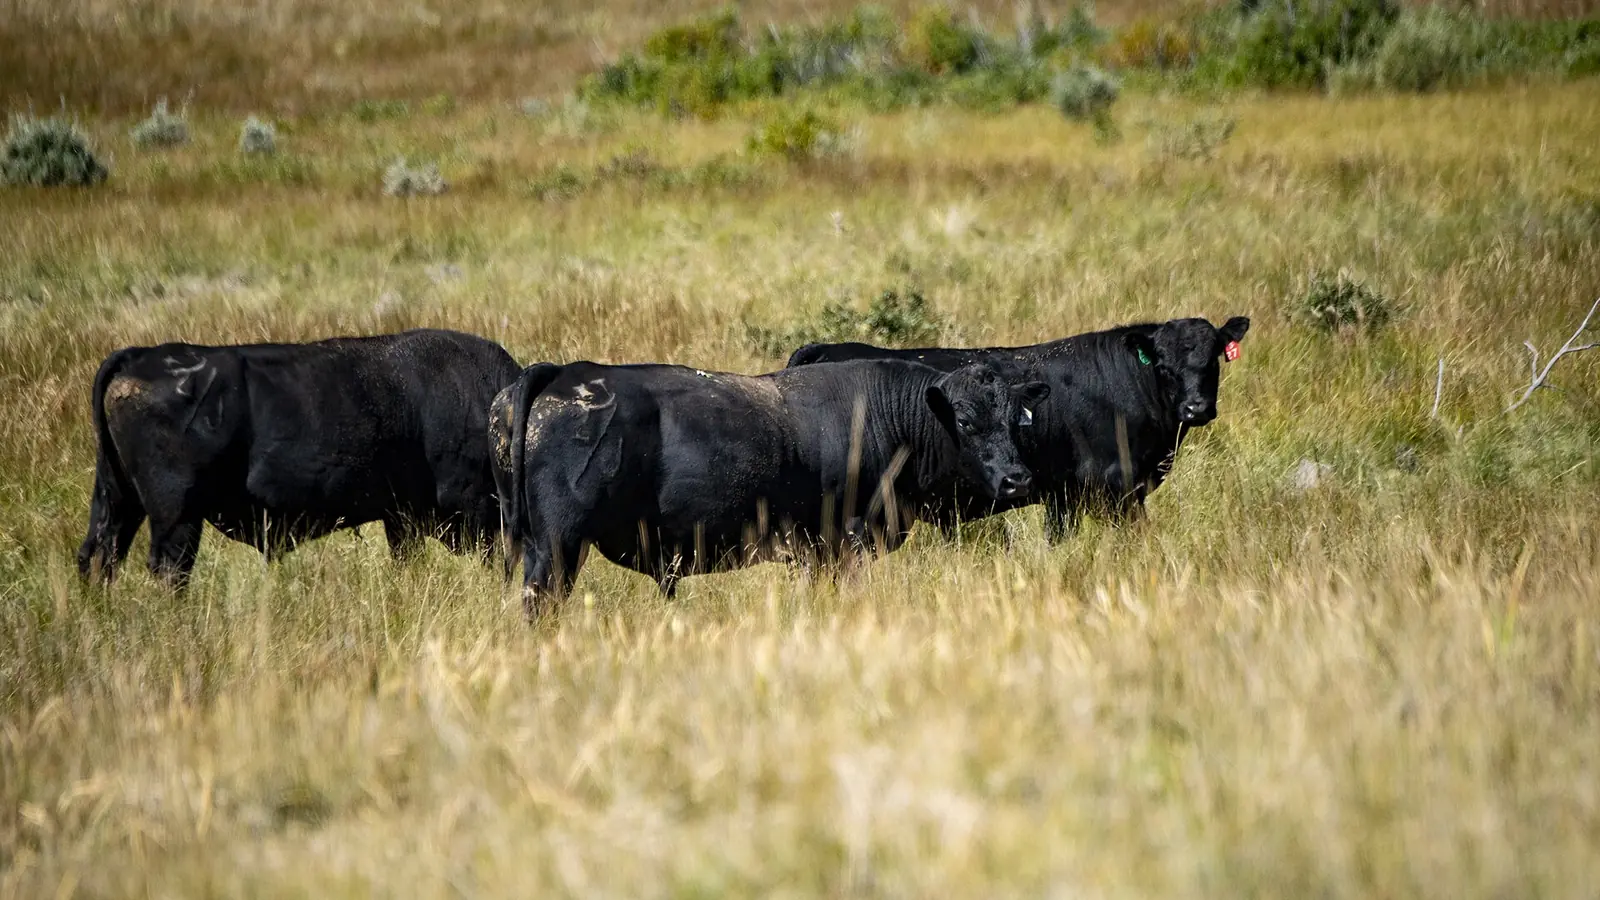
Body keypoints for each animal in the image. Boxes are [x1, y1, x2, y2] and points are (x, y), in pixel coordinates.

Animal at [77, 329, 523, 586]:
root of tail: (138, 356)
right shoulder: (472, 511)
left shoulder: (401, 516)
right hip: (177, 517)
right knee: (169, 567)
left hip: (118, 499)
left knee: (99, 555)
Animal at [492, 358, 1050, 618]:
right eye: (966, 422)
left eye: (1015, 420)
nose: (1017, 479)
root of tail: (567, 371)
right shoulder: (846, 539)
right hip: (558, 548)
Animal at [785, 316, 1250, 539]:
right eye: (1165, 366)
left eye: (1212, 360)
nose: (1195, 407)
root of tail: (824, 347)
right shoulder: (1114, 488)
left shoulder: (1062, 496)